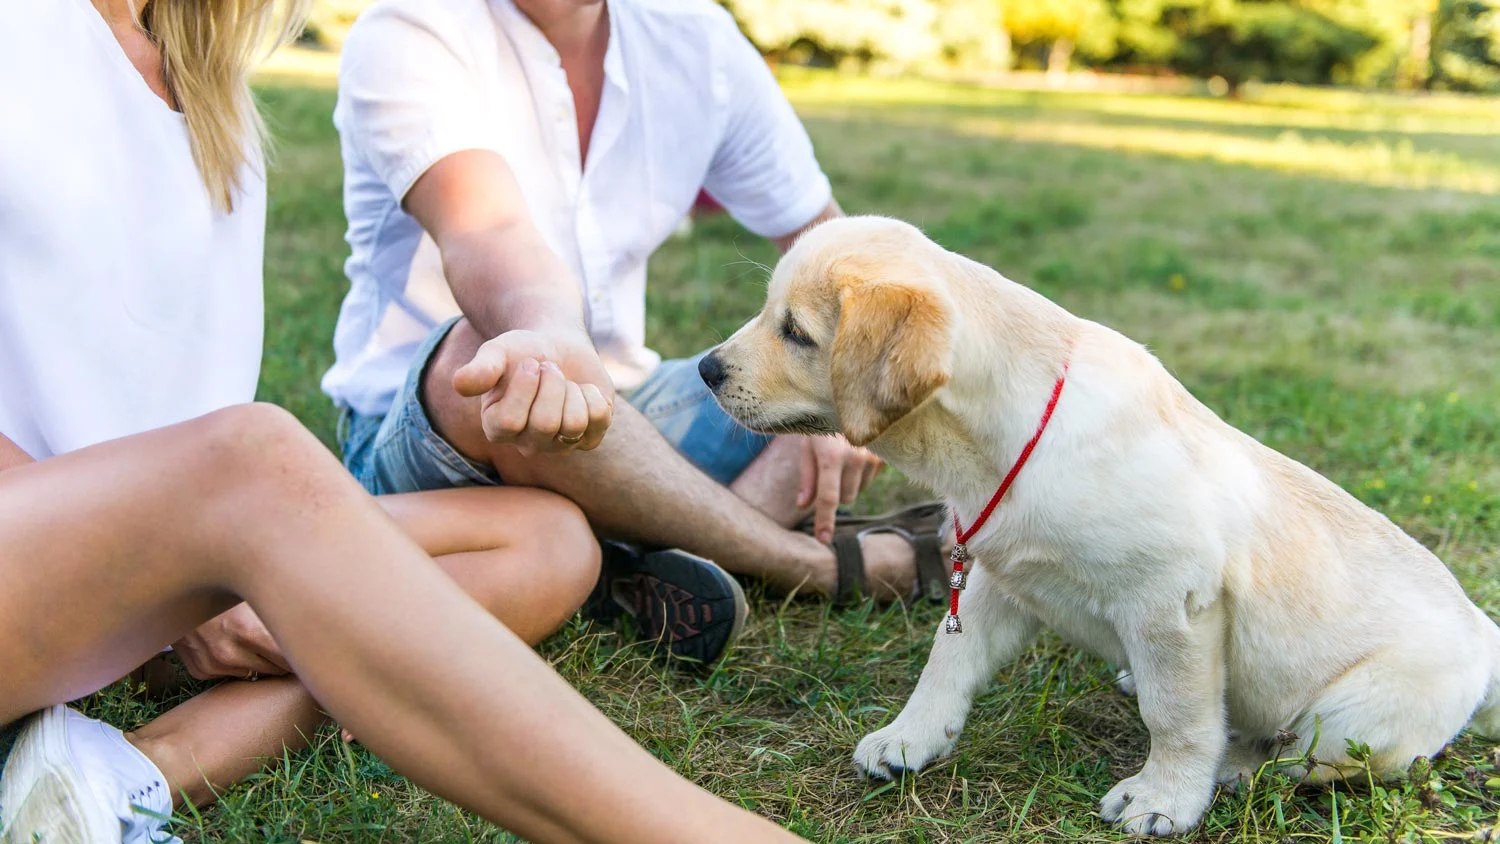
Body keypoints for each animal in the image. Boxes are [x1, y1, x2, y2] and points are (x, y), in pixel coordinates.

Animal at [702, 214, 1500, 833]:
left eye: (795, 332)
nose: (707, 369)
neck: (1013, 440)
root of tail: (1486, 640)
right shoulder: (1000, 580)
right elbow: (944, 663)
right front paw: (909, 739)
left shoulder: (1172, 603)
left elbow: (1177, 715)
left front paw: (1165, 800)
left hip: (1353, 715)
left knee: (1308, 760)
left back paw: (1238, 765)